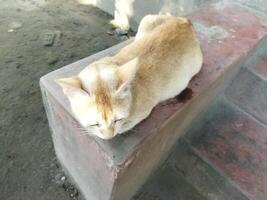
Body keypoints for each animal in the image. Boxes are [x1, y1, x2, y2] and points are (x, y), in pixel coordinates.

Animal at [56, 14, 203, 140]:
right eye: (94, 124)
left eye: (117, 120)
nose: (109, 137)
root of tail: (184, 21)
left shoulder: (145, 110)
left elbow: (124, 126)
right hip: (147, 20)